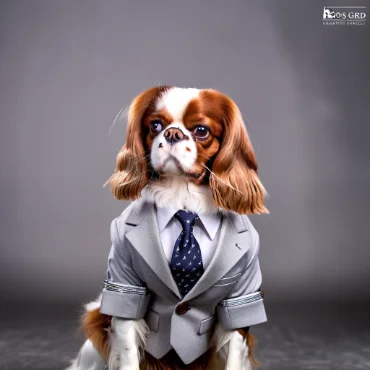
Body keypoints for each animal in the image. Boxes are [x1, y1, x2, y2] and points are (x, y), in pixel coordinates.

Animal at [67, 85, 268, 368]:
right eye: (155, 125)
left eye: (201, 130)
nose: (172, 133)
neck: (183, 200)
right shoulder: (126, 287)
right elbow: (128, 350)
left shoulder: (239, 298)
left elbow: (235, 355)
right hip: (95, 321)